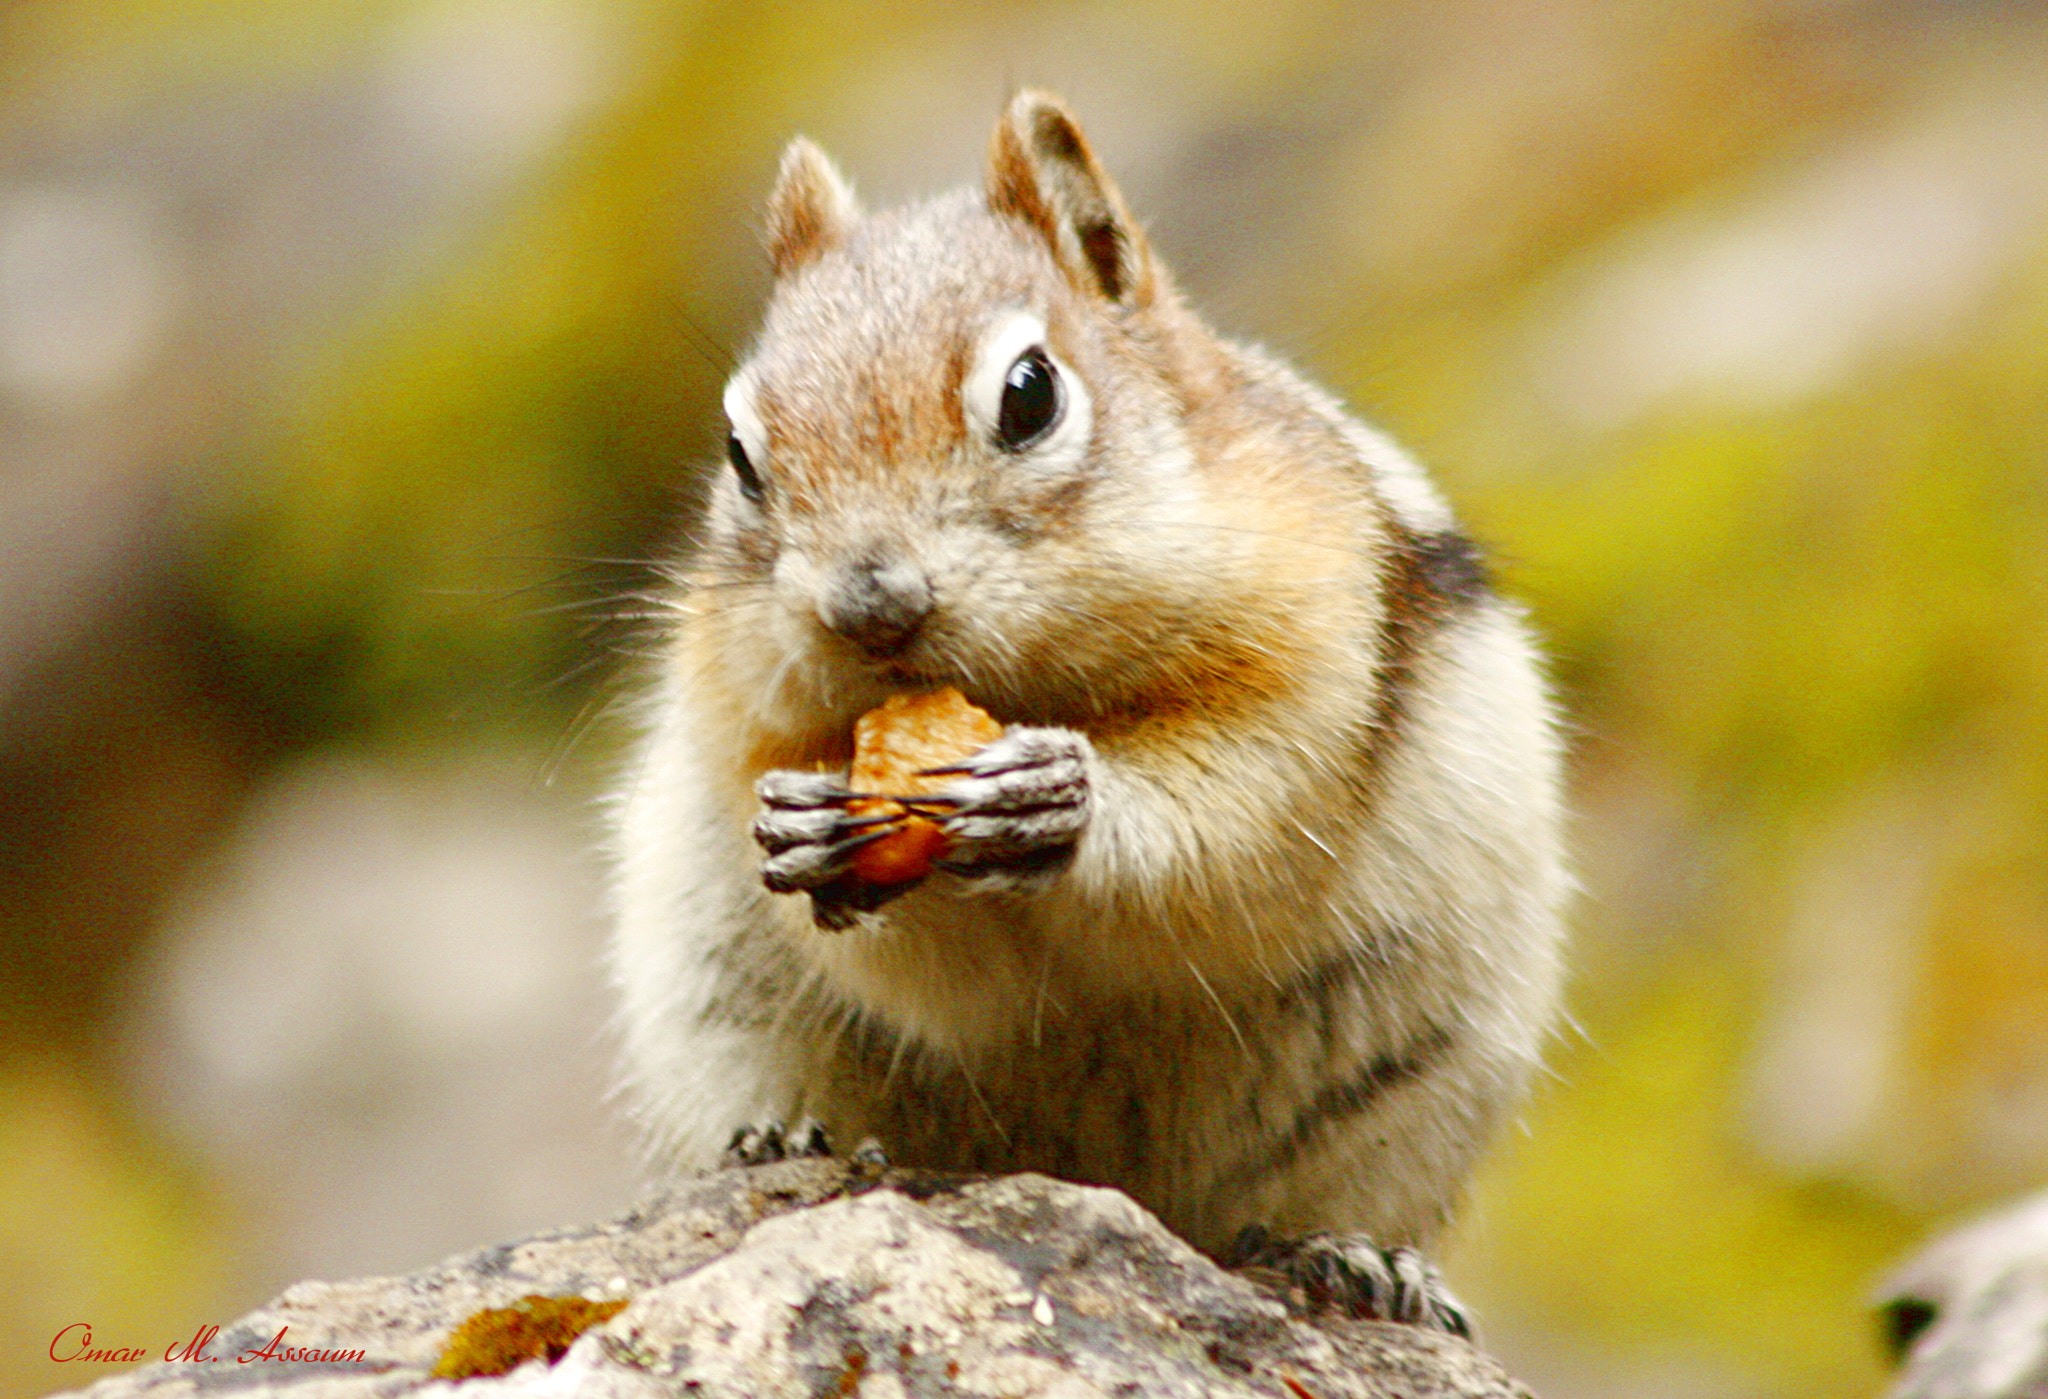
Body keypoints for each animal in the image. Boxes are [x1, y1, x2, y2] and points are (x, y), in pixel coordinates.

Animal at [610, 90, 1564, 1335]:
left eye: (1030, 394)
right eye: (737, 454)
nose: (870, 602)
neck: (1026, 687)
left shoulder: (1305, 655)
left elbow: (1232, 821)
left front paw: (1058, 797)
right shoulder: (736, 718)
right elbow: (934, 985)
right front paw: (807, 828)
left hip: (1418, 1073)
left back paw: (1355, 1262)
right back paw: (782, 1139)